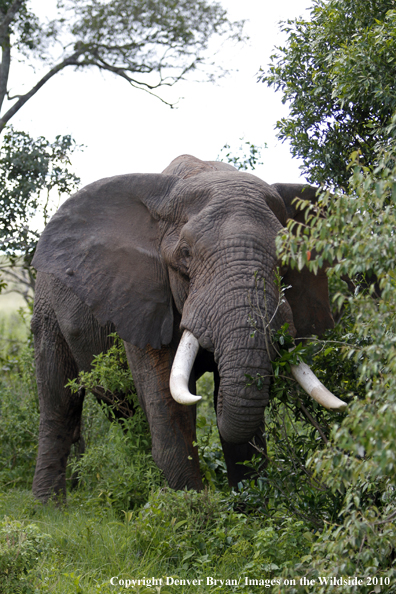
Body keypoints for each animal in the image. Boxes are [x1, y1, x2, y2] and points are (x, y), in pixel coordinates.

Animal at [31, 153, 346, 500]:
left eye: (289, 259)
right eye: (185, 254)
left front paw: (247, 507)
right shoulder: (145, 297)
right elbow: (168, 405)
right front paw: (194, 509)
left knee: (122, 410)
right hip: (47, 306)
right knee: (59, 405)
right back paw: (48, 505)